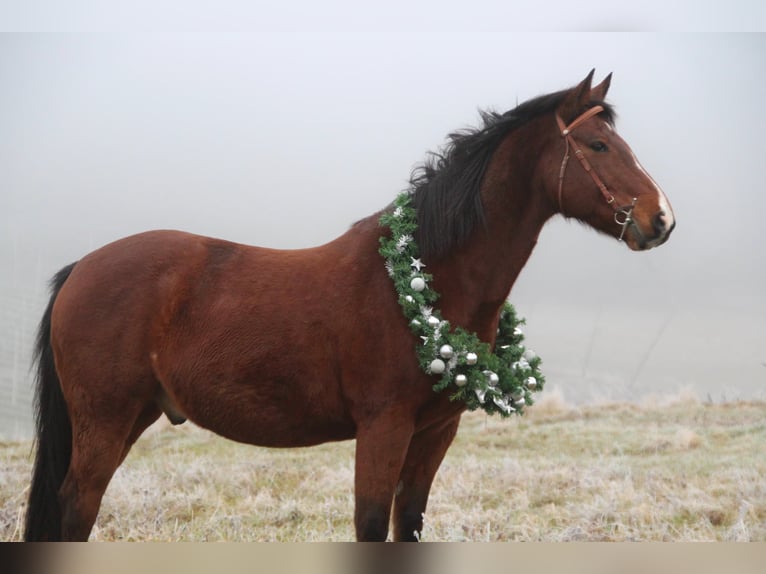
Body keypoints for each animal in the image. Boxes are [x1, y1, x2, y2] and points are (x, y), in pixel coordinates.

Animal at [24, 70, 675, 541]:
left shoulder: (435, 433)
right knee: (76, 512)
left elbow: (407, 525)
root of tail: (82, 267)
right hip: (105, 421)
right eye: (598, 144)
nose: (661, 219)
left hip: (133, 416)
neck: (425, 276)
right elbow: (369, 527)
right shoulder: (383, 427)